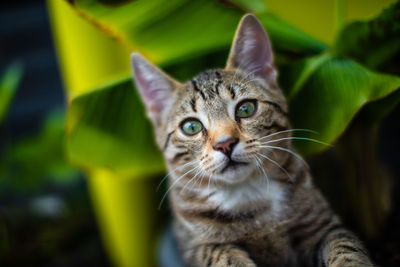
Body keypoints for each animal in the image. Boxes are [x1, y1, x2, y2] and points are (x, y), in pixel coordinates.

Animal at [132, 14, 376, 267]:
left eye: (246, 108)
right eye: (191, 127)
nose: (225, 143)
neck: (247, 197)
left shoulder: (324, 224)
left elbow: (346, 248)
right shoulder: (196, 246)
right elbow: (222, 256)